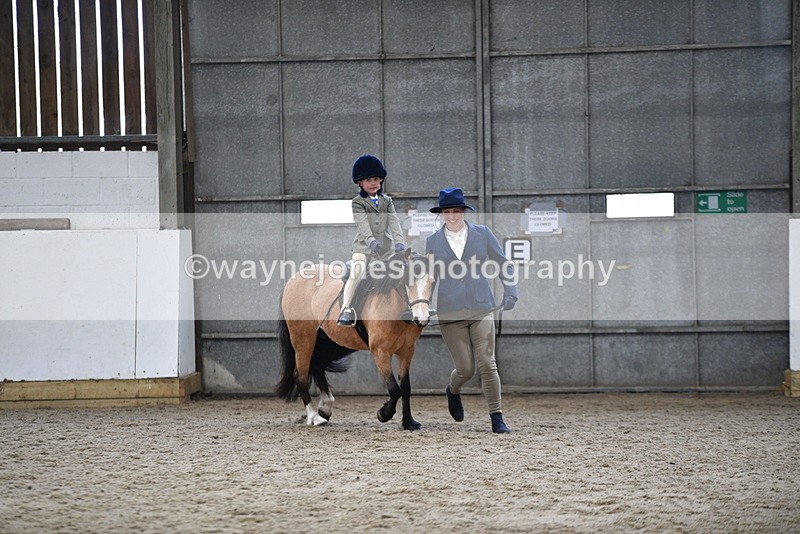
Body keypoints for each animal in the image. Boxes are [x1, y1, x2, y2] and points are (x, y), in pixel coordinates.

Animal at [275, 249, 435, 430]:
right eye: (409, 282)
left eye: (432, 283)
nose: (421, 319)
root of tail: (293, 280)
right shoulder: (380, 352)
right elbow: (395, 389)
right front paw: (383, 413)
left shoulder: (407, 352)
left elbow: (406, 387)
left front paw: (409, 422)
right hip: (303, 340)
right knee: (300, 376)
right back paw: (314, 416)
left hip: (331, 342)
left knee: (317, 364)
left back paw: (326, 407)